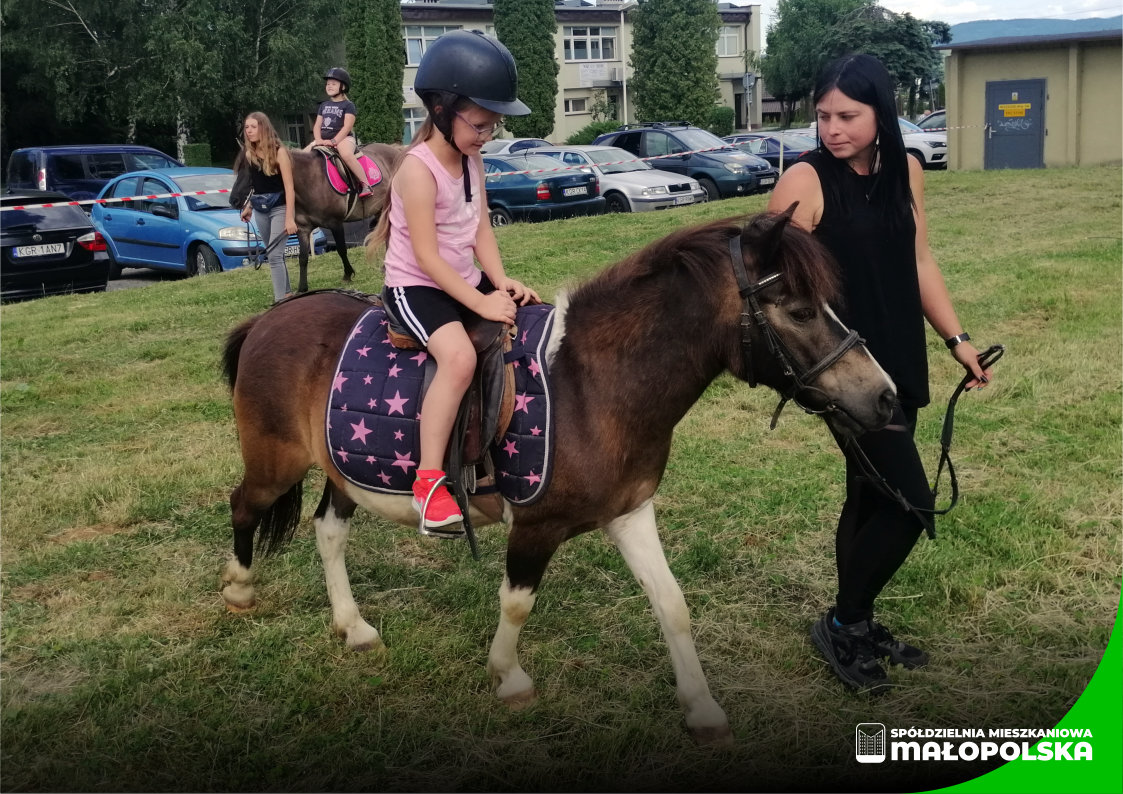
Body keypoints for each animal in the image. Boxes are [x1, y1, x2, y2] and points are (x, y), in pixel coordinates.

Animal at [218, 210, 893, 745]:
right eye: (800, 310)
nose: (884, 397)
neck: (593, 386)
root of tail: (267, 320)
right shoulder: (535, 526)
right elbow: (517, 603)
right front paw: (509, 677)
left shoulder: (629, 513)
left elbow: (671, 604)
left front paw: (702, 709)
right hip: (275, 462)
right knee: (243, 505)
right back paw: (240, 590)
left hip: (345, 472)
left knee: (328, 532)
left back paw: (353, 626)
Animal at [285, 142, 404, 291]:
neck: (310, 179)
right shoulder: (303, 228)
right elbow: (302, 257)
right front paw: (302, 288)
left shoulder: (335, 223)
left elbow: (341, 249)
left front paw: (348, 274)